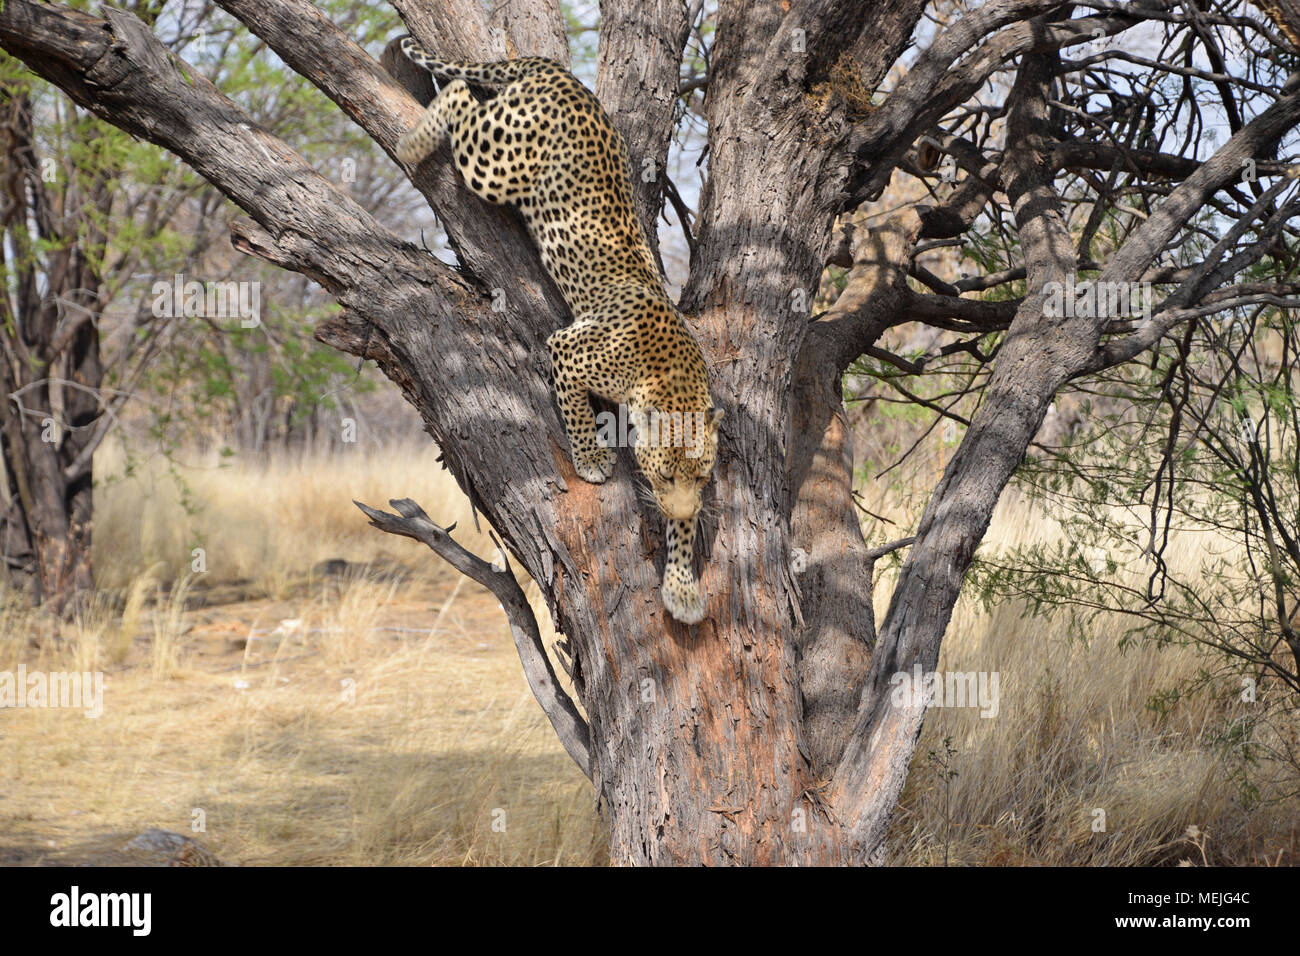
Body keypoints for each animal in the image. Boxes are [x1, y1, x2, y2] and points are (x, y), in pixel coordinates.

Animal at [394, 37, 722, 625]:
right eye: (663, 476)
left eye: (700, 477)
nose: (679, 503)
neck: (668, 379)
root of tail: (566, 78)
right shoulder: (568, 348)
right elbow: (575, 411)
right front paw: (591, 459)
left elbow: (683, 530)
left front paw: (682, 584)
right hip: (497, 161)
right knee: (459, 97)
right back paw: (413, 142)